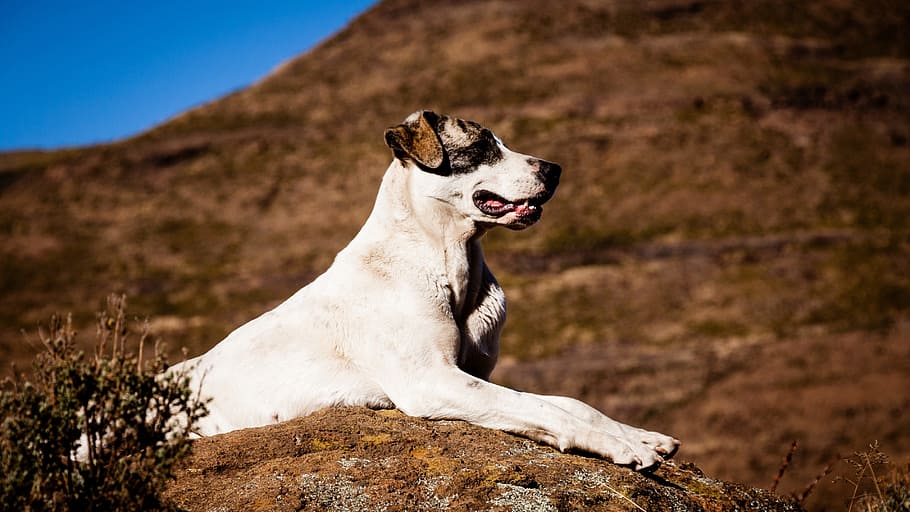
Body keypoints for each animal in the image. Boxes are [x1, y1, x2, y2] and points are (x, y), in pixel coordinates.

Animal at [175, 110, 680, 470]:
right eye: (481, 146)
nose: (555, 169)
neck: (448, 263)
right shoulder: (432, 380)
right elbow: (539, 408)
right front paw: (617, 445)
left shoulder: (473, 374)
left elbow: (565, 402)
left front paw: (639, 435)